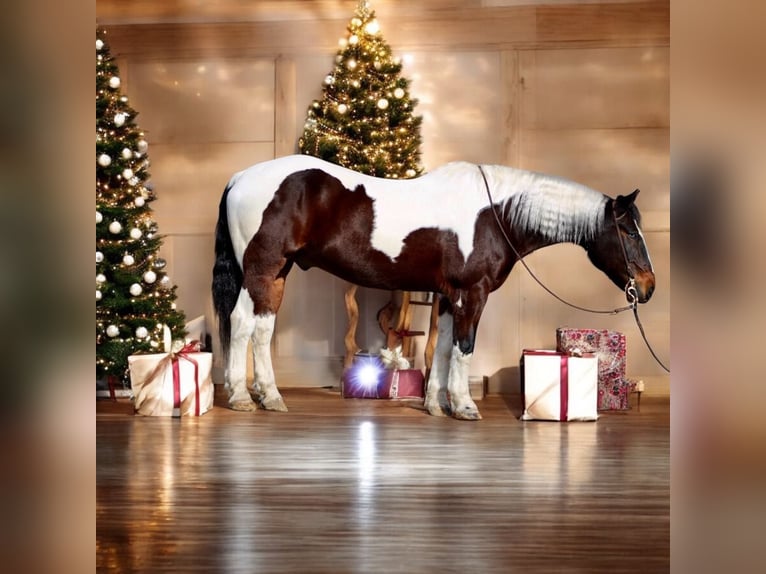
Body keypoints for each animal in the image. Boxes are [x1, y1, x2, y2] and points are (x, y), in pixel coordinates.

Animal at [212, 154, 655, 420]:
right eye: (629, 231)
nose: (648, 287)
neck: (494, 215)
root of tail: (238, 178)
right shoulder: (472, 293)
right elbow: (464, 347)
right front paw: (464, 405)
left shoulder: (447, 295)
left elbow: (440, 348)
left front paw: (435, 404)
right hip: (262, 270)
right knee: (242, 324)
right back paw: (243, 397)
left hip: (277, 274)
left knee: (262, 328)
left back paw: (267, 396)